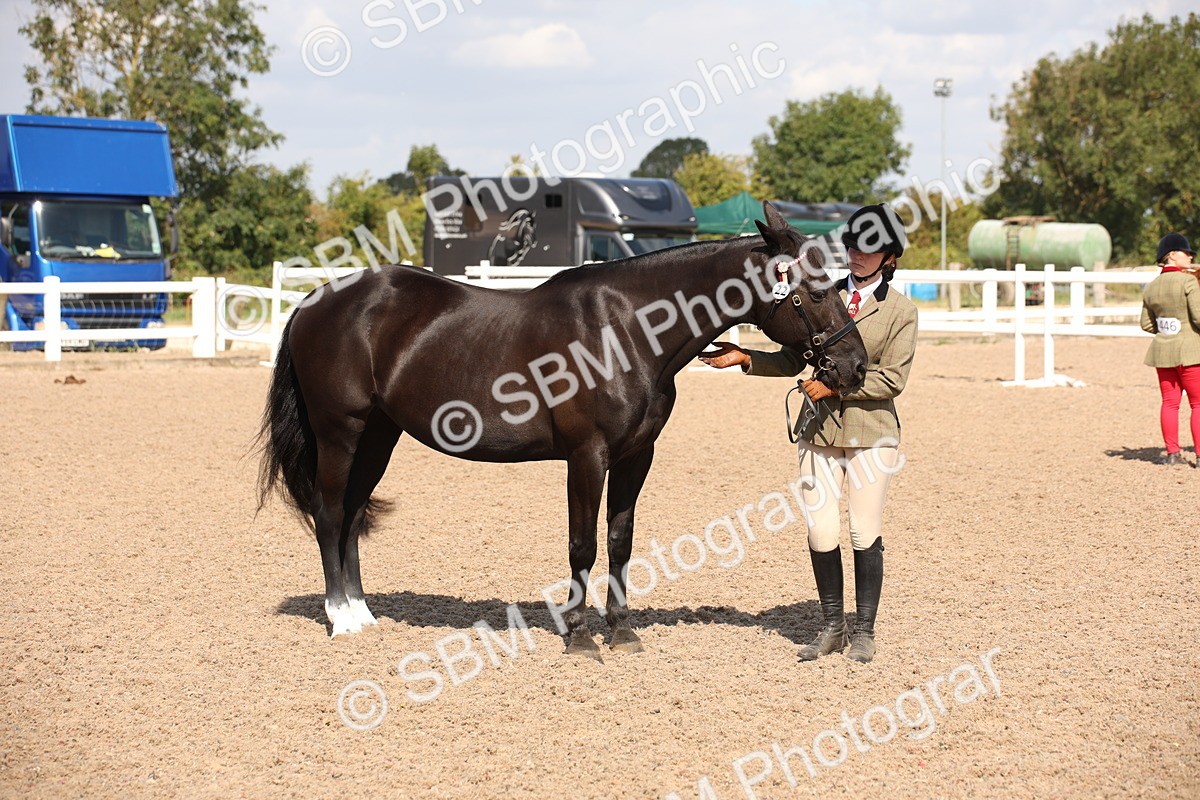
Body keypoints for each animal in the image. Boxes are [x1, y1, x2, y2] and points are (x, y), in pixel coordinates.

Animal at [257, 202, 868, 658]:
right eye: (816, 292)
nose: (855, 367)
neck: (626, 329)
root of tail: (315, 300)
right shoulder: (586, 455)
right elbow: (582, 544)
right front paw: (577, 635)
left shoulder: (635, 456)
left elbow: (619, 540)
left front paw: (621, 630)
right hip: (340, 432)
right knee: (329, 513)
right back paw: (340, 618)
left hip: (379, 437)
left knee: (353, 514)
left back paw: (363, 613)